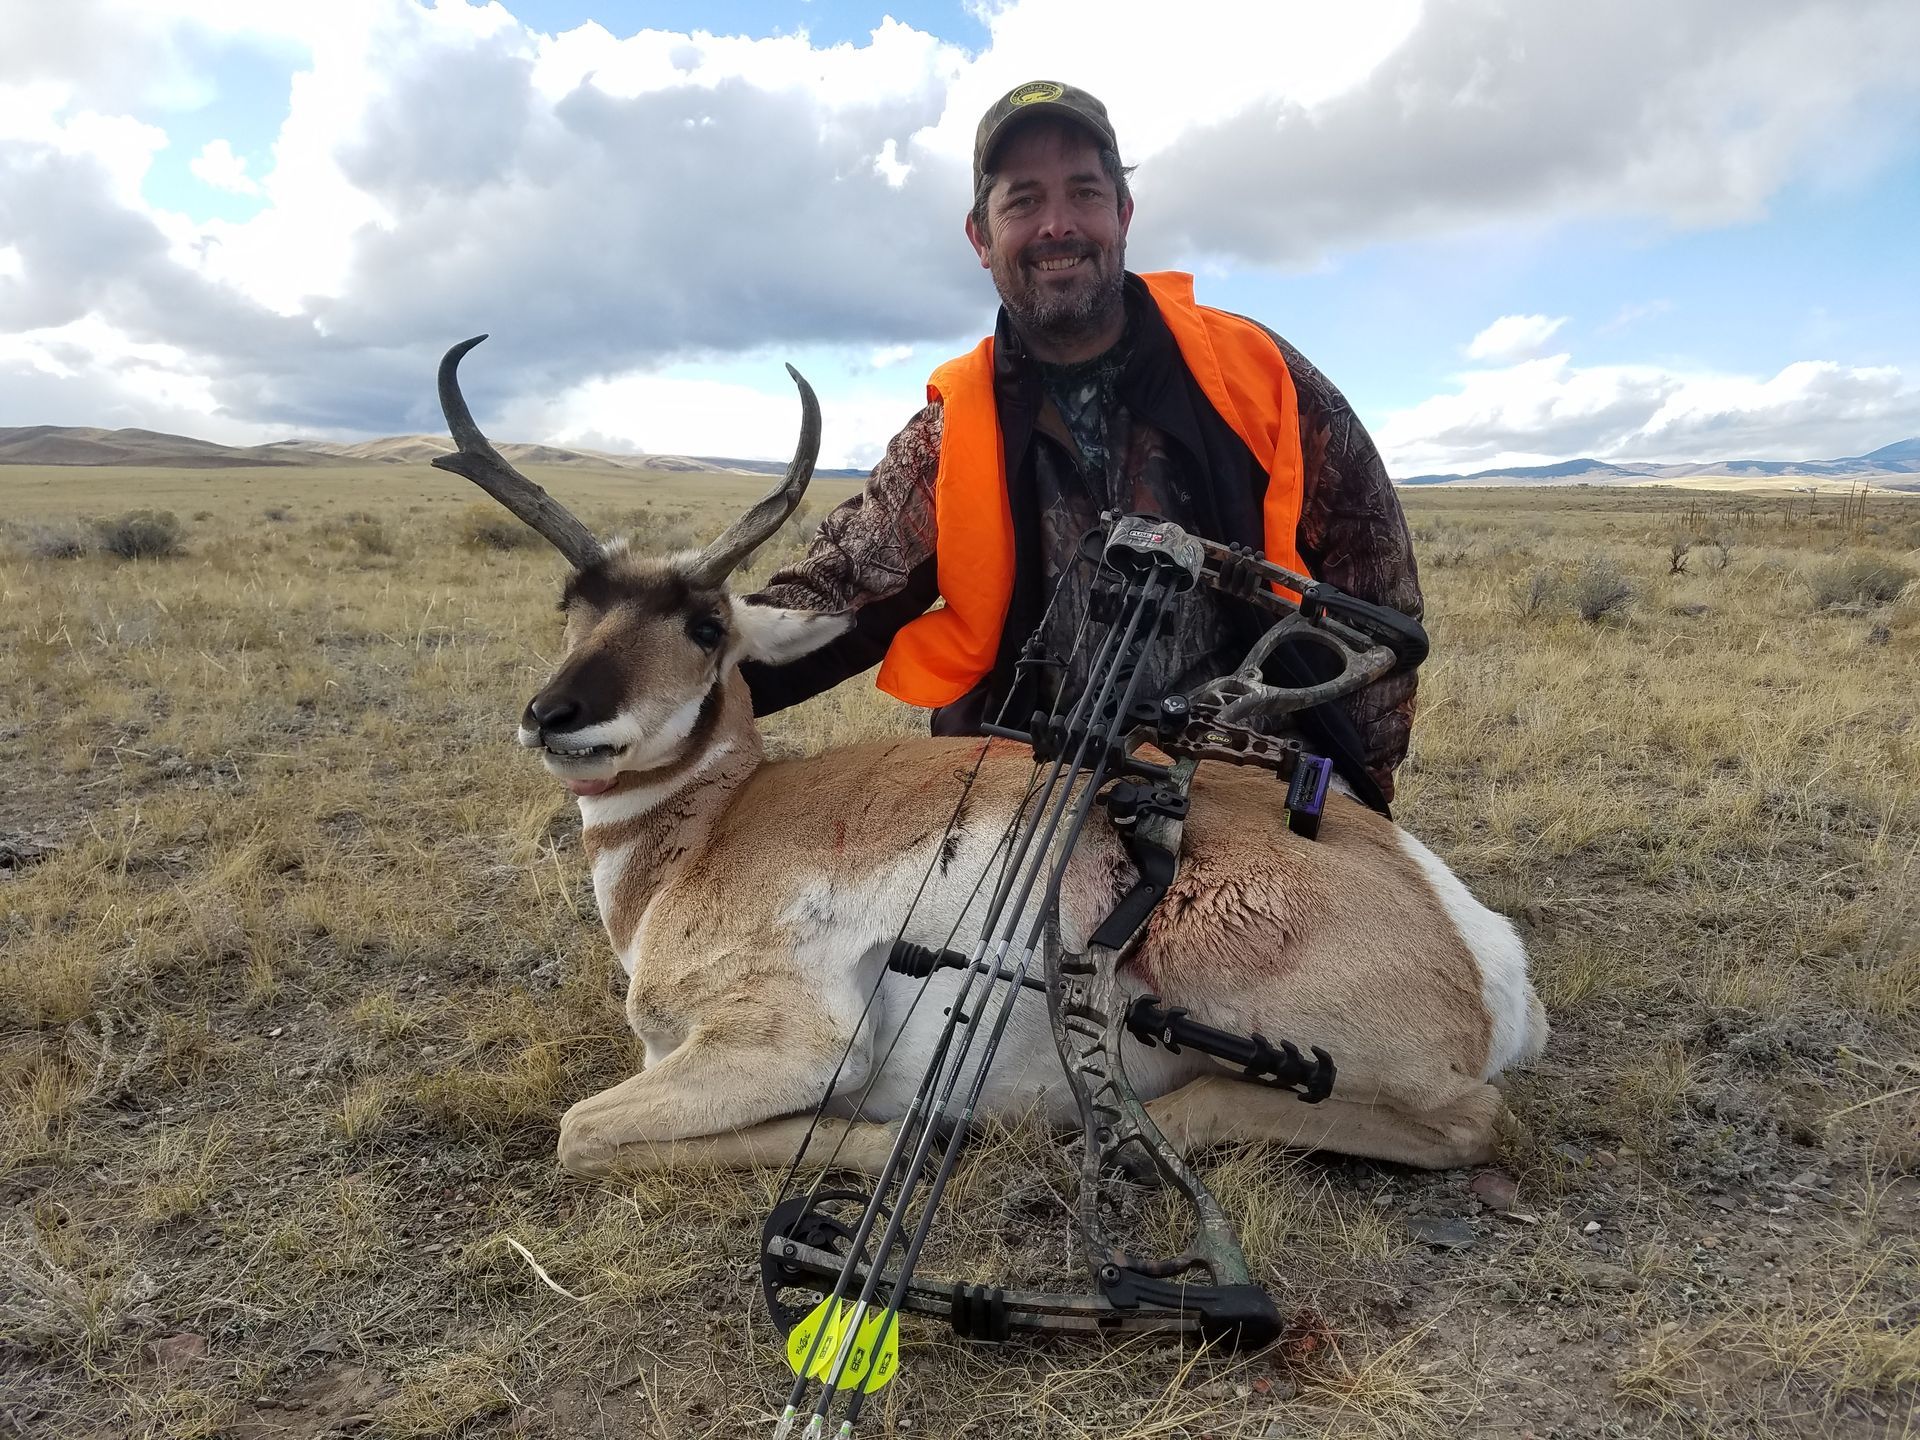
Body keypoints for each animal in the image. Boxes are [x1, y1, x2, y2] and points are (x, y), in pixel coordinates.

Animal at [432, 339, 1547, 1182]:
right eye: (572, 605)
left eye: (707, 625)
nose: (555, 715)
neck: (705, 834)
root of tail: (1474, 943)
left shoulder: (788, 1044)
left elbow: (581, 1131)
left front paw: (884, 1140)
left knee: (1470, 1120)